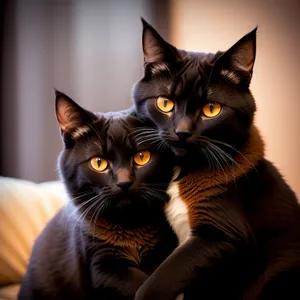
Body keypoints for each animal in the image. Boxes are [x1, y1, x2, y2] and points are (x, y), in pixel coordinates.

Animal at [17, 92, 177, 300]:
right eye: (98, 163)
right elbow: (139, 284)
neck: (130, 226)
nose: (124, 182)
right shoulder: (102, 267)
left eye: (142, 157)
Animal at [133, 19, 300, 300]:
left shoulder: (225, 237)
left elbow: (156, 282)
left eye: (211, 109)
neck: (184, 170)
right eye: (165, 103)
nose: (182, 132)